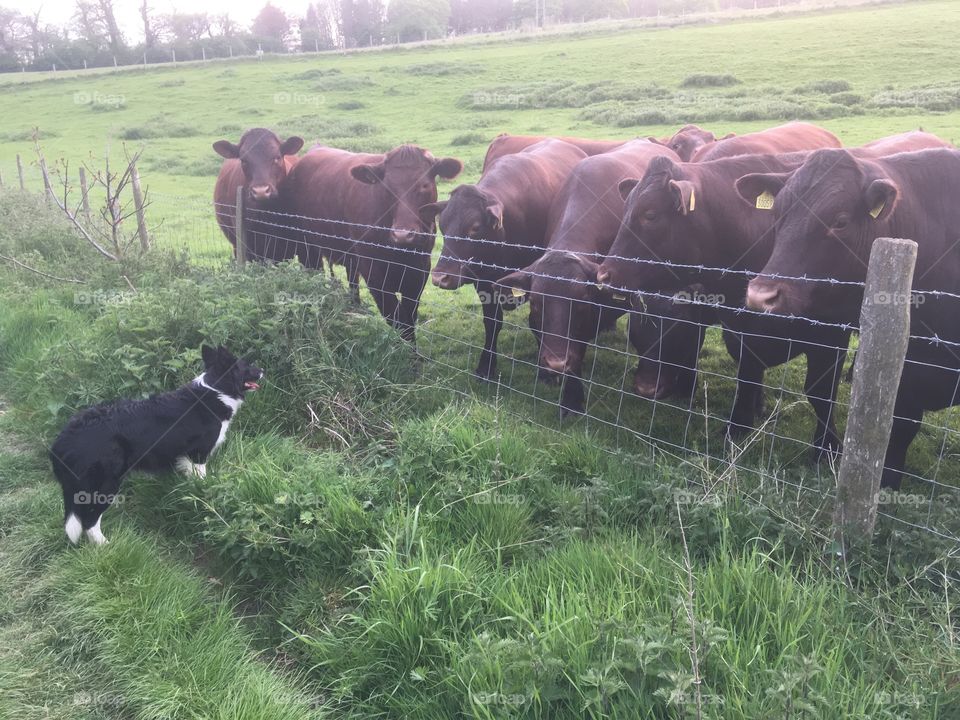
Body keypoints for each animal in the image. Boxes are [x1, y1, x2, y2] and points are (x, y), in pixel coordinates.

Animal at [282, 144, 463, 343]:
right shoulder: (374, 272)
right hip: (307, 247)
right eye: (387, 187)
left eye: (424, 185)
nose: (403, 235)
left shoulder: (420, 269)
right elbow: (397, 319)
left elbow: (409, 318)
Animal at [425, 139, 587, 380]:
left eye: (475, 228)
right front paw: (486, 366)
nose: (439, 278)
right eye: (442, 225)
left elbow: (537, 320)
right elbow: (492, 322)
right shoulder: (484, 282)